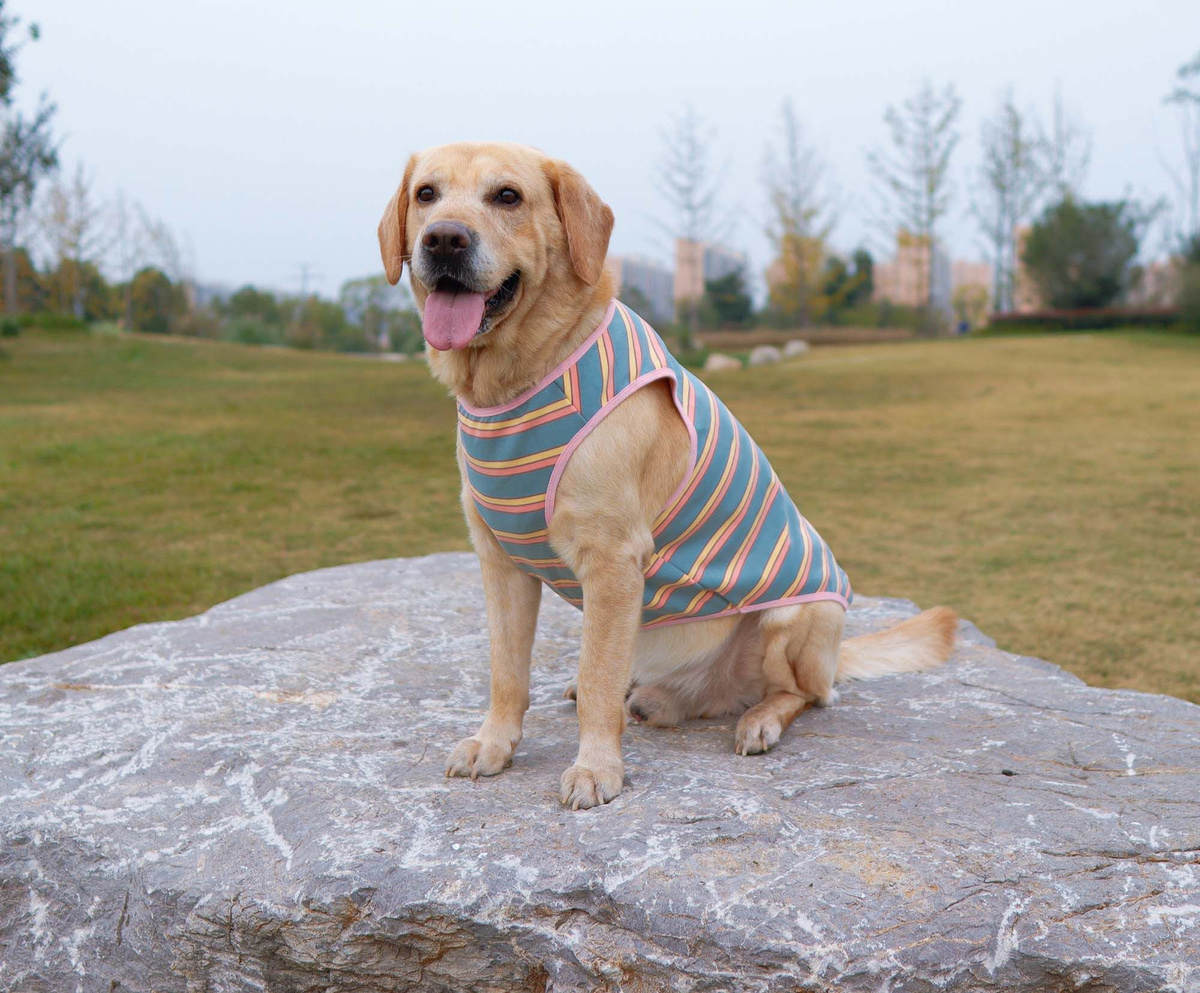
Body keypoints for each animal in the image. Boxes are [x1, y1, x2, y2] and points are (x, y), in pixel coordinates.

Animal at [374, 141, 955, 805]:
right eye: (426, 194)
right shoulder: (500, 561)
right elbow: (508, 674)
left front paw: (597, 766)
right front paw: (494, 743)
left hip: (798, 619)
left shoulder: (612, 561)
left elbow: (597, 681)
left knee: (805, 695)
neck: (522, 381)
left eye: (507, 196)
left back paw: (756, 719)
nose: (445, 239)